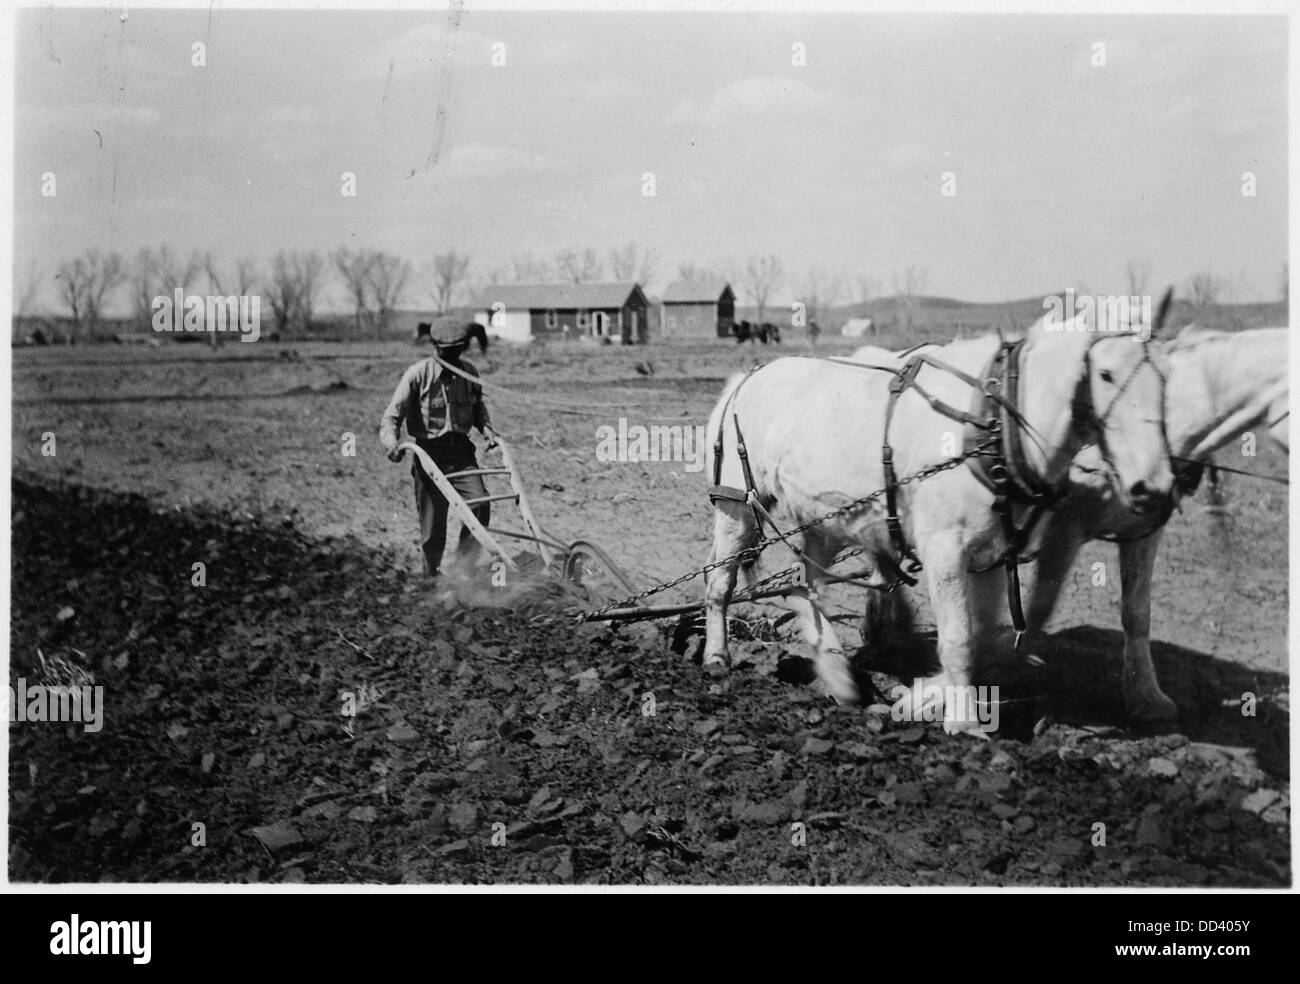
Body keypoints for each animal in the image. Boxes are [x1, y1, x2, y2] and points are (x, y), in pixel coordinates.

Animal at [702, 297, 1176, 733]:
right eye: (1105, 374)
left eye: (1166, 377)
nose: (1154, 487)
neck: (991, 423)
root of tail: (745, 379)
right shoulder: (944, 550)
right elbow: (959, 636)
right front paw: (962, 721)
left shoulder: (993, 553)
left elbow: (982, 635)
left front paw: (927, 695)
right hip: (737, 506)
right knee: (721, 581)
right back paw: (716, 656)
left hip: (826, 520)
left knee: (809, 585)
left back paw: (837, 673)